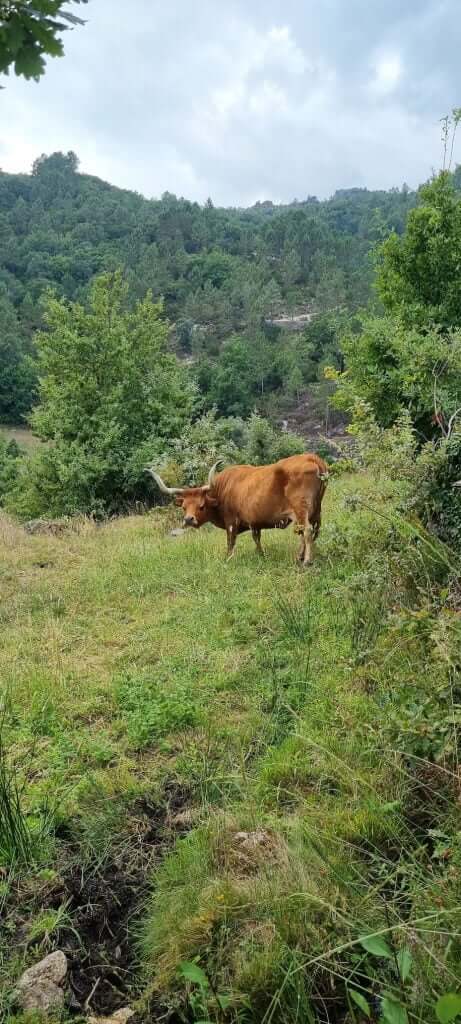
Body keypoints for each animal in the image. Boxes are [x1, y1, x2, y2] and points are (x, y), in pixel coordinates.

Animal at [146, 453, 329, 565]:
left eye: (201, 506)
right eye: (184, 507)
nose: (189, 519)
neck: (222, 490)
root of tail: (311, 457)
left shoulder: (231, 523)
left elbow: (230, 542)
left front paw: (228, 558)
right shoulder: (254, 522)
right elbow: (257, 539)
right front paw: (260, 554)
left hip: (301, 509)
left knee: (306, 531)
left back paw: (306, 560)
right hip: (316, 511)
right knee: (313, 531)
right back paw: (302, 556)